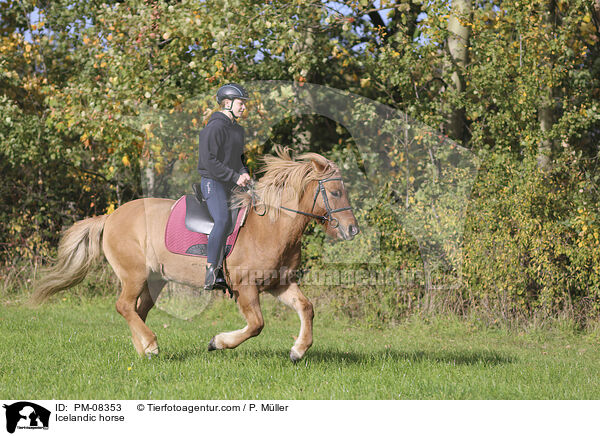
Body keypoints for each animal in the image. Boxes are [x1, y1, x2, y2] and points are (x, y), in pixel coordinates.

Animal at [30, 148, 358, 362]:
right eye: (335, 192)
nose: (352, 230)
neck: (271, 227)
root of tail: (110, 217)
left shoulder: (279, 284)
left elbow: (306, 308)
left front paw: (298, 350)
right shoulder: (246, 288)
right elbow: (256, 325)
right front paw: (217, 342)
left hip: (155, 280)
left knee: (138, 310)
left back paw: (143, 349)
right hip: (134, 275)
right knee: (124, 306)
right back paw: (151, 345)